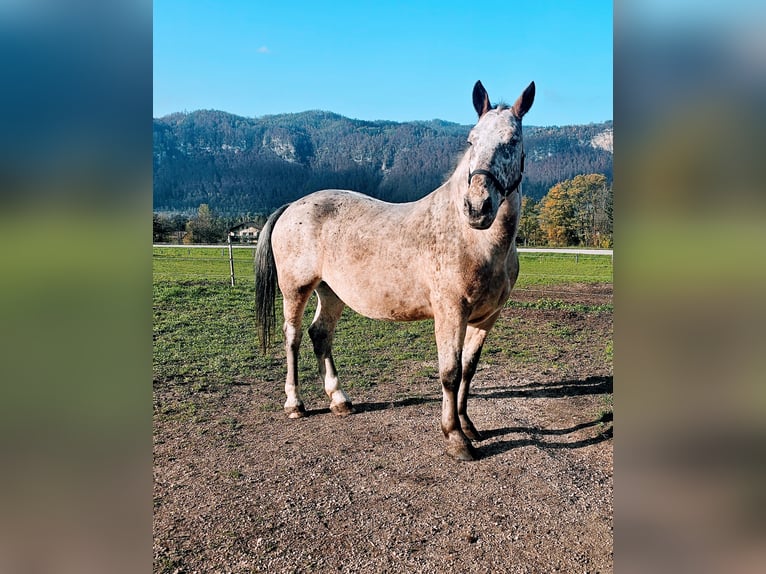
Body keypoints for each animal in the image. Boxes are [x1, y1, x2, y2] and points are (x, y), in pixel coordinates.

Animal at [255, 80, 535, 461]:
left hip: (332, 292)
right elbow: (449, 373)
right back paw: (295, 404)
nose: (477, 207)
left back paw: (340, 400)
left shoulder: (486, 317)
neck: (473, 239)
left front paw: (469, 427)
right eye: (471, 140)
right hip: (295, 290)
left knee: (320, 334)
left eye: (512, 141)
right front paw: (455, 437)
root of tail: (291, 206)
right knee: (293, 337)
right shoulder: (450, 312)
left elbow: (468, 370)